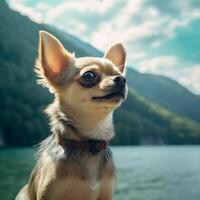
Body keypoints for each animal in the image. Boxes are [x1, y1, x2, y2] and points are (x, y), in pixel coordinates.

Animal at [16, 30, 128, 200]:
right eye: (89, 75)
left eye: (119, 74)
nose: (121, 79)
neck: (88, 143)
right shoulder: (50, 194)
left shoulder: (106, 194)